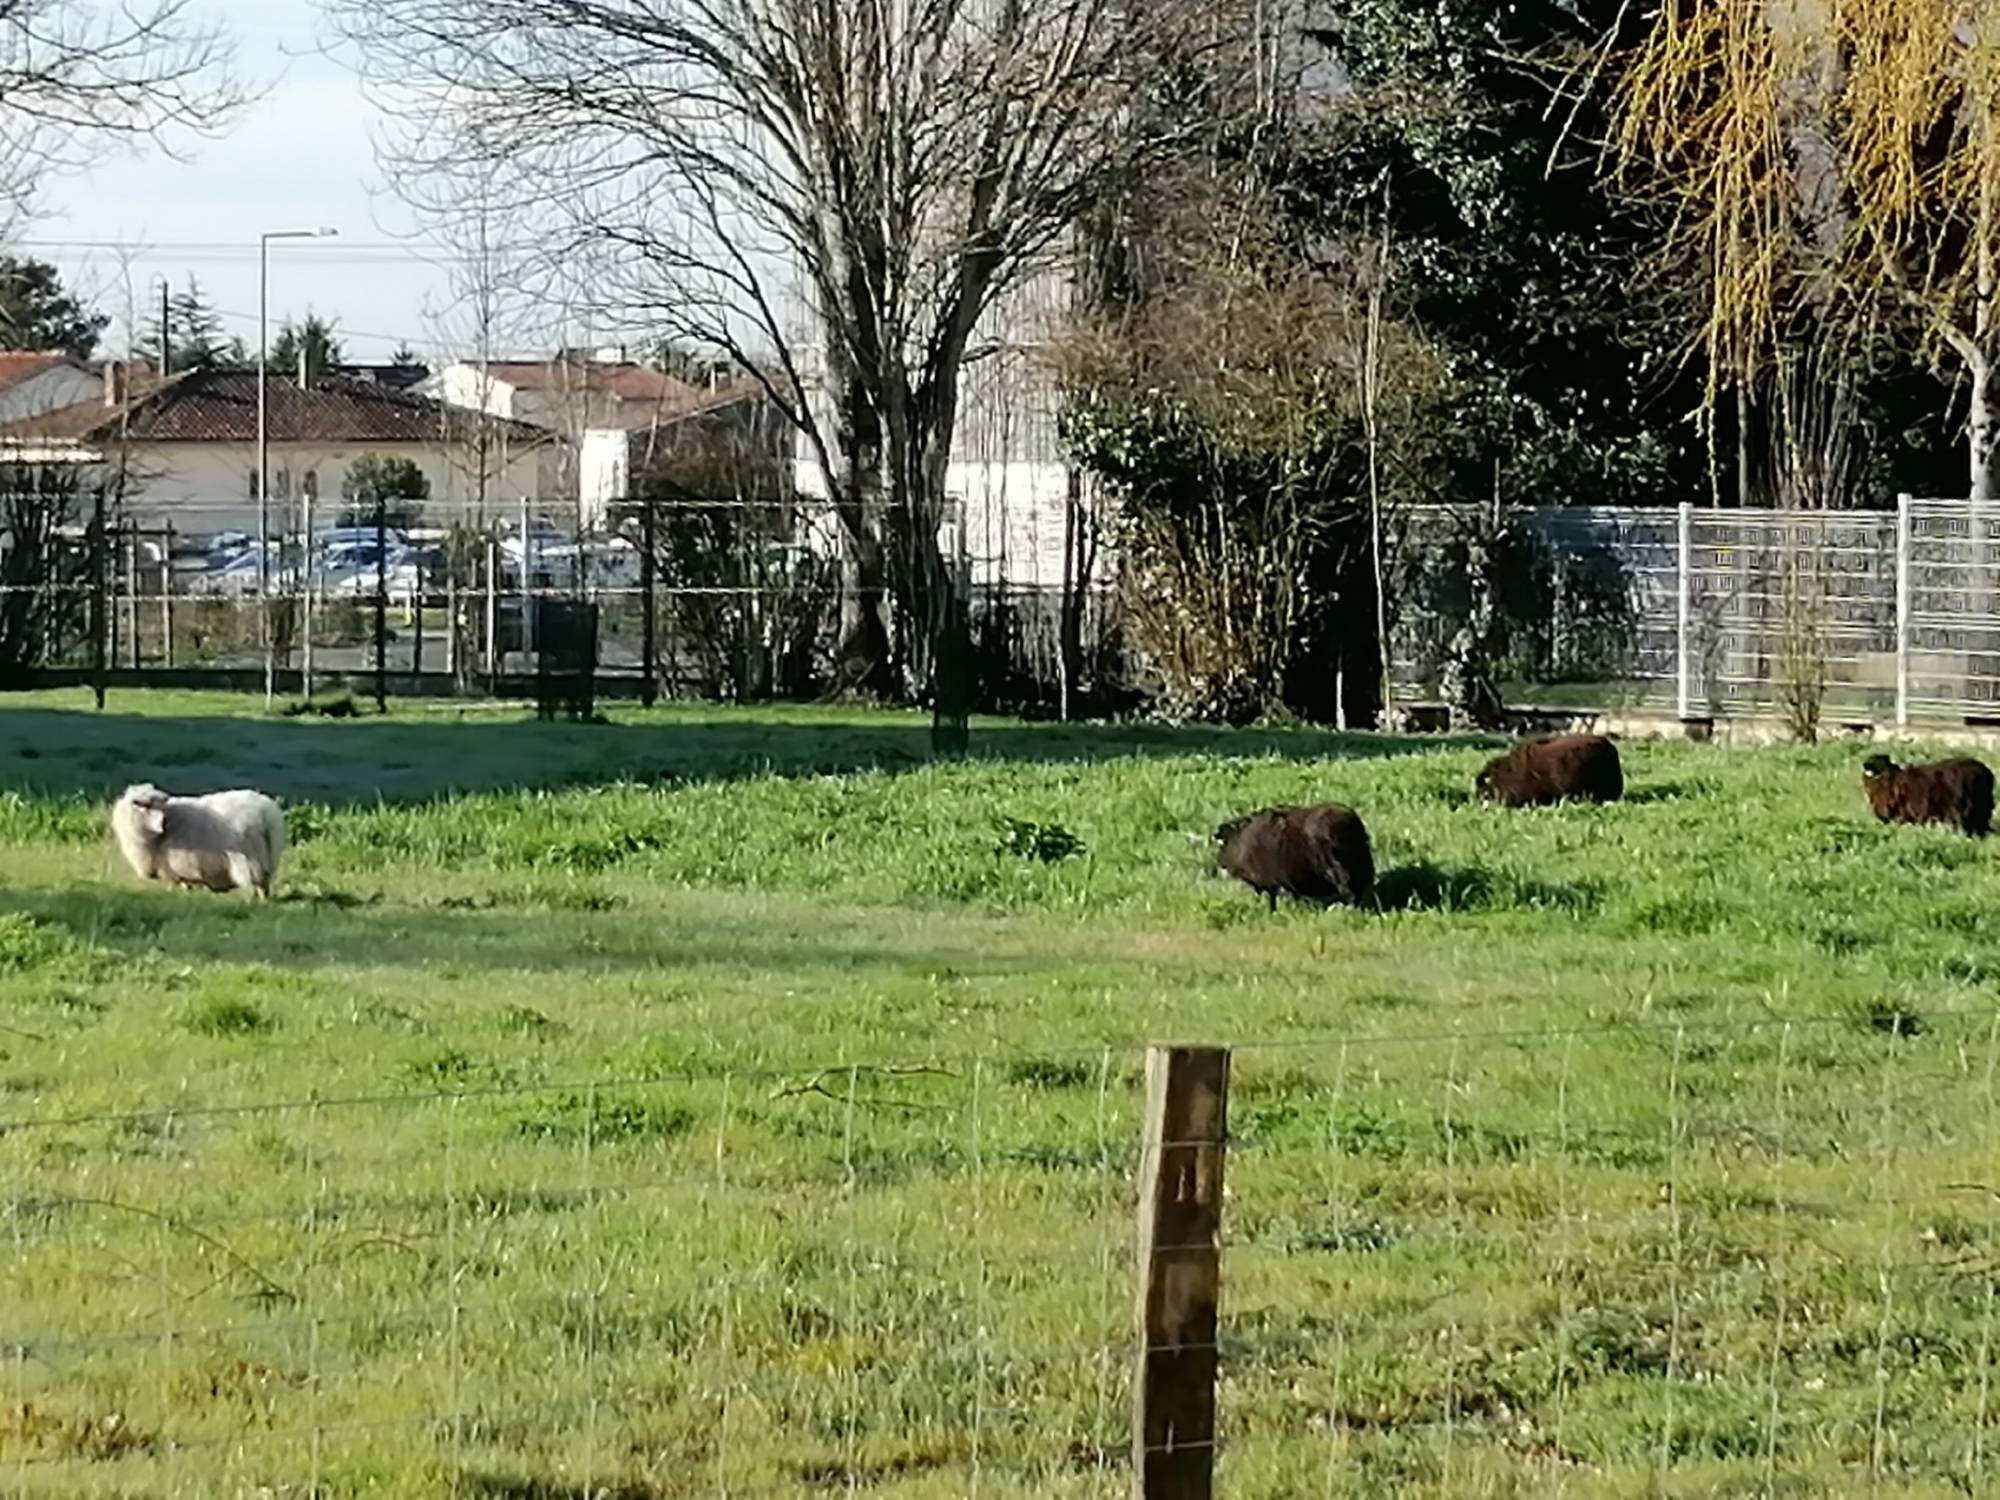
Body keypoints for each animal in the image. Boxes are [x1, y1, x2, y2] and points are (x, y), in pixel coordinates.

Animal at [110, 783, 287, 898]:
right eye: (145, 806)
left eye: (160, 805)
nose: (163, 823)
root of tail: (265, 813)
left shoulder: (173, 866)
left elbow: (179, 883)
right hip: (269, 856)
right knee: (264, 884)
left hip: (247, 859)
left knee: (252, 885)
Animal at [1214, 803, 1375, 911]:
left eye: (1223, 844)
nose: (1220, 862)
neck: (1241, 839)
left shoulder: (1269, 882)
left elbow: (1272, 899)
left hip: (1339, 870)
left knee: (1349, 890)